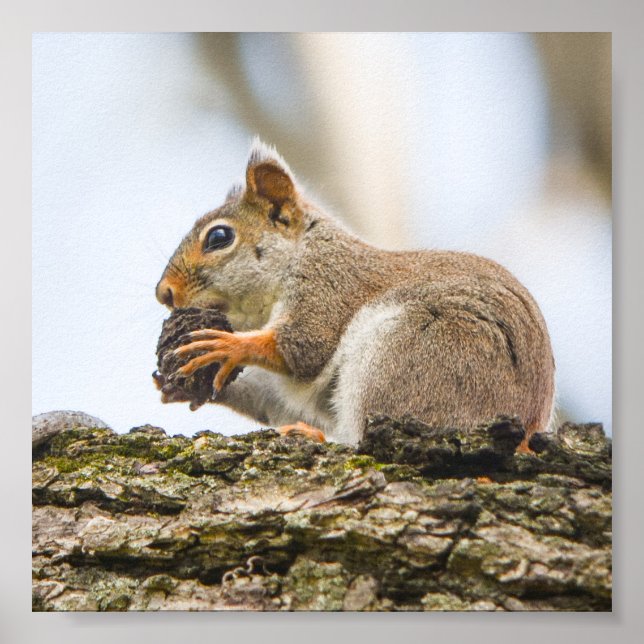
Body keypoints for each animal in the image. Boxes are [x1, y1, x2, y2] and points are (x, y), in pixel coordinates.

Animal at [155, 138, 555, 450]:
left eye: (219, 237)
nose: (165, 293)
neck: (302, 253)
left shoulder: (328, 286)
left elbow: (305, 346)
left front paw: (230, 346)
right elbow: (276, 398)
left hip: (411, 353)